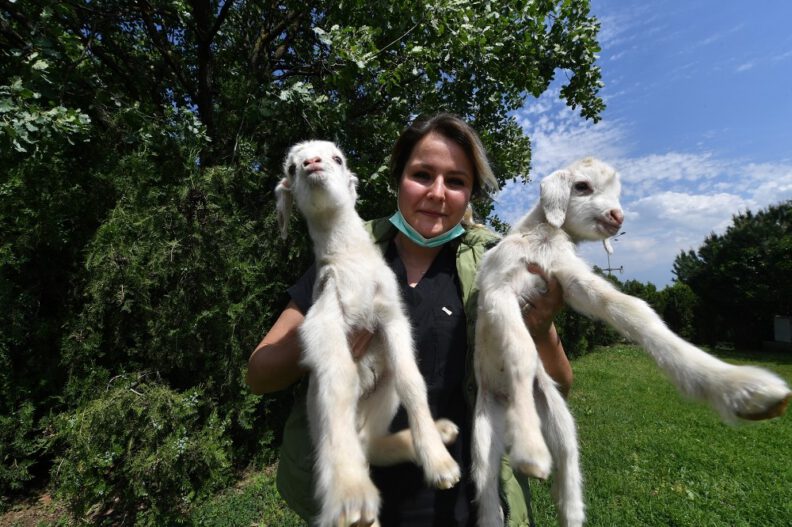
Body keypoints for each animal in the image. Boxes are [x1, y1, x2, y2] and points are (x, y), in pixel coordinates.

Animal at [472, 157, 791, 527]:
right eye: (581, 186)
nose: (617, 217)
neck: (540, 238)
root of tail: (502, 400)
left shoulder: (568, 279)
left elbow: (633, 310)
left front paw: (737, 386)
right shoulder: (498, 289)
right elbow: (520, 350)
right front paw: (529, 446)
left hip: (560, 422)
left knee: (567, 490)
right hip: (483, 433)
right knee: (487, 496)